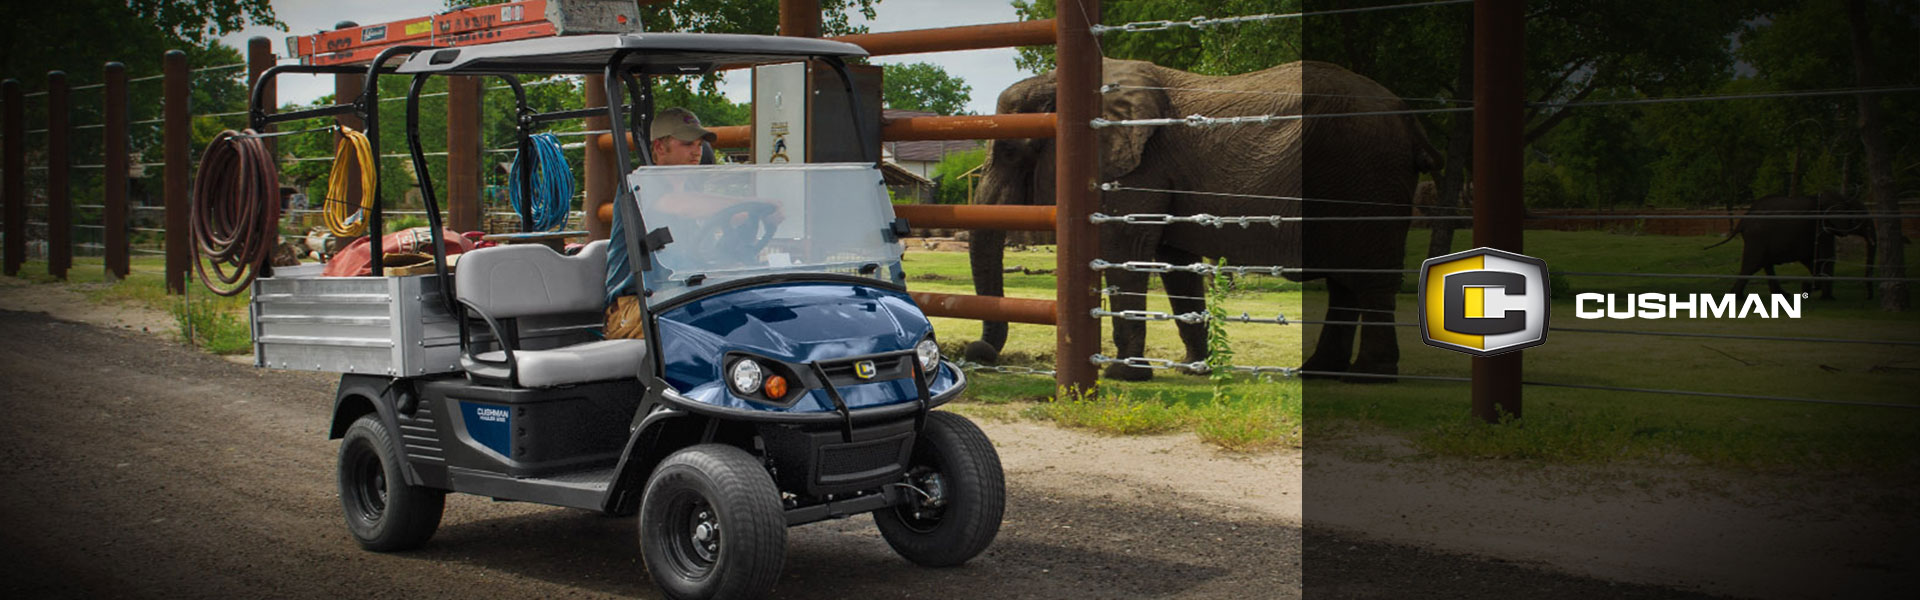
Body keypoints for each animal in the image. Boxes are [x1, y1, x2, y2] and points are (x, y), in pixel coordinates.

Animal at [967, 58, 1436, 382]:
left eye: (1010, 151)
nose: (976, 352)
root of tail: (1410, 118)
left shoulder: (1139, 169)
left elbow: (1126, 250)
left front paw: (1124, 375)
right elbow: (1175, 262)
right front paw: (1192, 369)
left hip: (1365, 175)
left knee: (1368, 279)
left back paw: (1368, 376)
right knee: (1345, 282)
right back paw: (1318, 372)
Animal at [1712, 192, 1873, 300]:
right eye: (1859, 219)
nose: (1868, 297)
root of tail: (1744, 217)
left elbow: (1814, 259)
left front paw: (1812, 288)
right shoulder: (1821, 227)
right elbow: (1827, 257)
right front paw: (1823, 295)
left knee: (1764, 263)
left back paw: (1783, 295)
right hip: (1757, 237)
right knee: (1753, 264)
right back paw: (1737, 298)